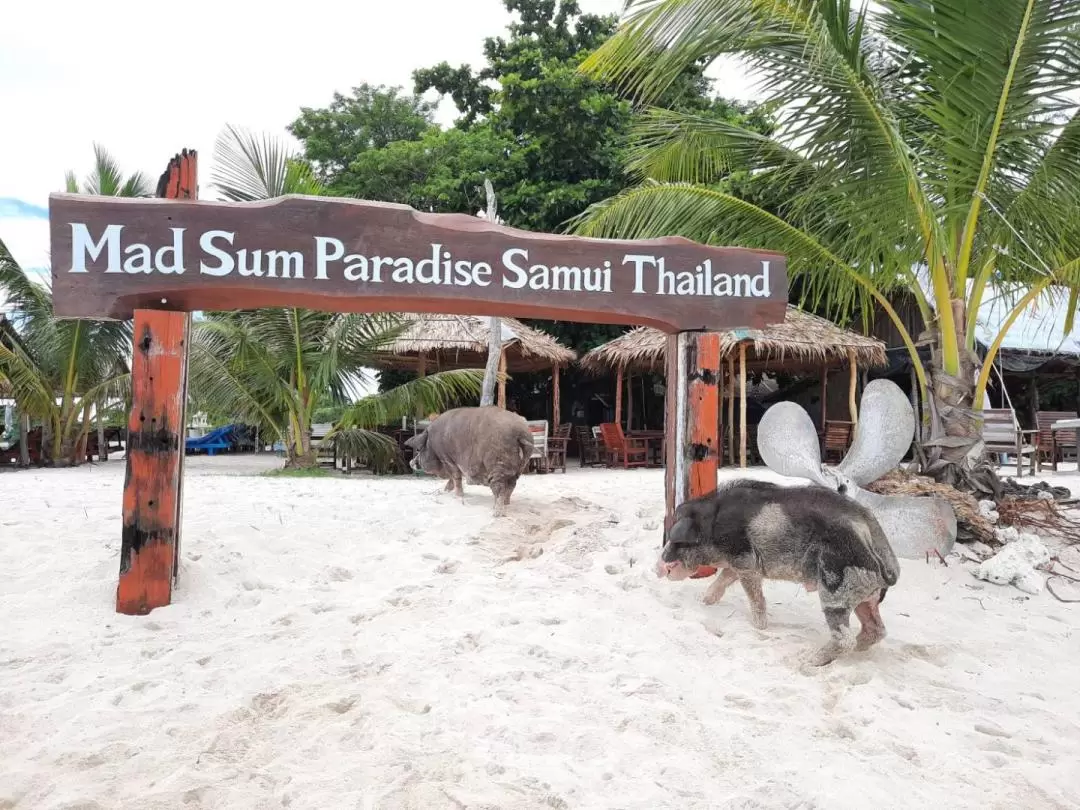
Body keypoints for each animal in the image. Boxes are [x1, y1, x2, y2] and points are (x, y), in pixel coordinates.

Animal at [401, 408, 535, 516]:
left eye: (419, 449)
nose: (411, 462)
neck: (432, 445)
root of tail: (520, 433)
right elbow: (452, 478)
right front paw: (445, 491)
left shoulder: (447, 458)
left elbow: (456, 477)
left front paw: (458, 496)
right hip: (519, 467)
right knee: (511, 485)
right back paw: (506, 504)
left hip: (498, 463)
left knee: (500, 487)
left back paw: (496, 513)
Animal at [656, 481, 902, 665]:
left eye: (677, 541)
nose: (657, 567)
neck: (712, 527)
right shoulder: (739, 563)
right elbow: (724, 578)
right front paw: (705, 601)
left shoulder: (745, 561)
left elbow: (755, 597)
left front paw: (760, 627)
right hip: (865, 596)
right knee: (876, 630)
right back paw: (858, 649)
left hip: (837, 587)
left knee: (844, 638)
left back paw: (807, 661)